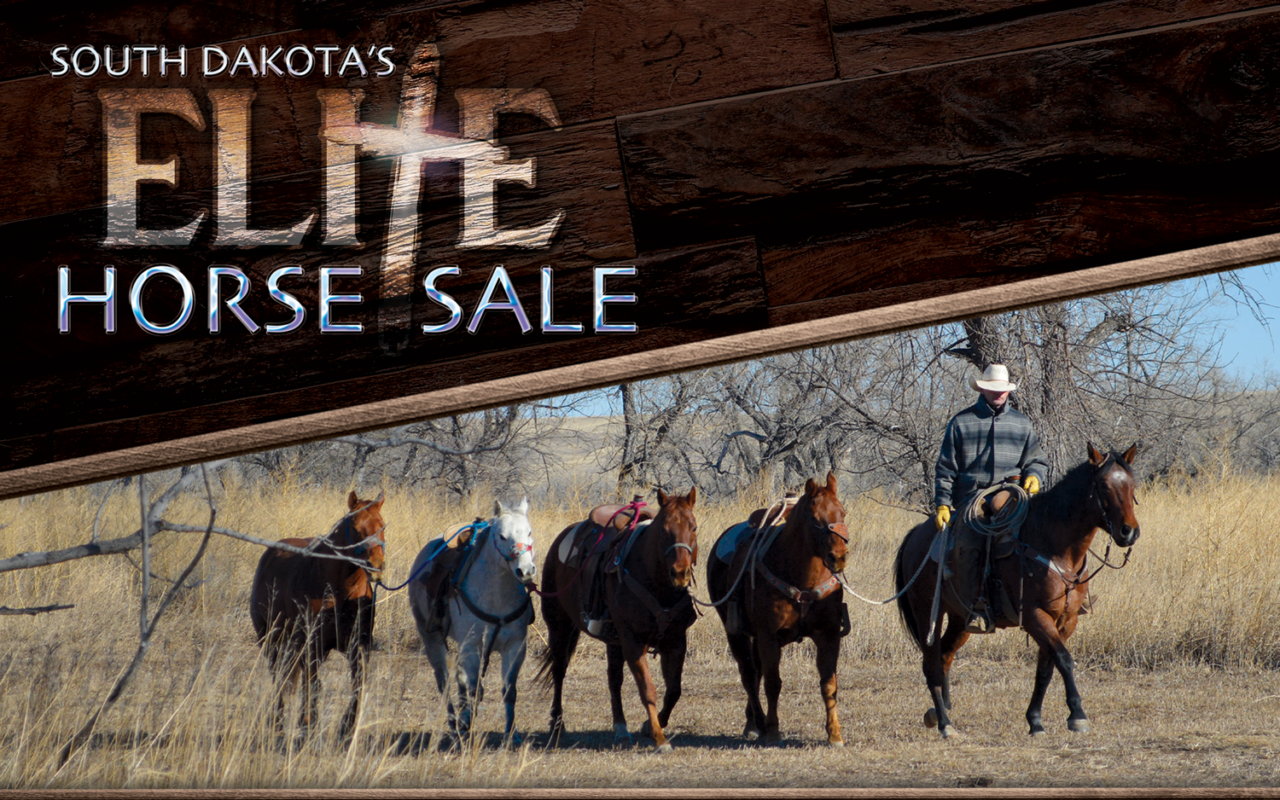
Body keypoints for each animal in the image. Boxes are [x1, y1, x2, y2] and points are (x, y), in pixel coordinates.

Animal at [249, 490, 386, 744]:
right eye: (355, 527)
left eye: (382, 525)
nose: (375, 566)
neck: (339, 590)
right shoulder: (311, 644)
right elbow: (312, 685)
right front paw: (307, 725)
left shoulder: (358, 645)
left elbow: (358, 684)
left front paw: (347, 729)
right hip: (271, 641)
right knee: (278, 679)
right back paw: (278, 724)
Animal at [408, 499, 538, 746]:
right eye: (501, 536)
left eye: (529, 532)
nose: (525, 570)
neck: (497, 599)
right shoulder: (472, 646)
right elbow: (475, 689)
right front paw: (466, 722)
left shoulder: (516, 646)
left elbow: (509, 691)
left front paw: (511, 734)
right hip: (430, 637)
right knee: (444, 682)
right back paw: (453, 724)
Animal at [537, 488, 699, 752]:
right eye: (663, 530)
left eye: (693, 527)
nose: (680, 573)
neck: (656, 584)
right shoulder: (633, 642)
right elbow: (648, 690)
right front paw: (659, 737)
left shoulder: (676, 641)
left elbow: (674, 689)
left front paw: (650, 726)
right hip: (559, 627)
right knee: (559, 672)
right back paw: (557, 724)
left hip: (613, 640)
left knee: (614, 680)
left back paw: (621, 730)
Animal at [708, 471, 850, 746]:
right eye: (814, 518)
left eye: (843, 512)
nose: (839, 557)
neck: (802, 580)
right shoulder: (769, 637)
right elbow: (773, 683)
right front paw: (773, 732)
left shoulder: (828, 636)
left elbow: (829, 684)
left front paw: (835, 734)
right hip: (736, 633)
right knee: (749, 675)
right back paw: (759, 724)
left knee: (756, 672)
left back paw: (751, 723)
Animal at [894, 442, 1141, 738]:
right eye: (1103, 485)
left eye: (1132, 485)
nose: (1129, 532)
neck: (1055, 546)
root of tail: (916, 535)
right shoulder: (1035, 616)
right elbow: (1064, 659)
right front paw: (1077, 715)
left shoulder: (1066, 620)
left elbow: (1046, 668)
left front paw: (1035, 720)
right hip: (926, 612)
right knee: (931, 663)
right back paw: (945, 723)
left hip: (960, 619)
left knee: (944, 656)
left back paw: (936, 713)